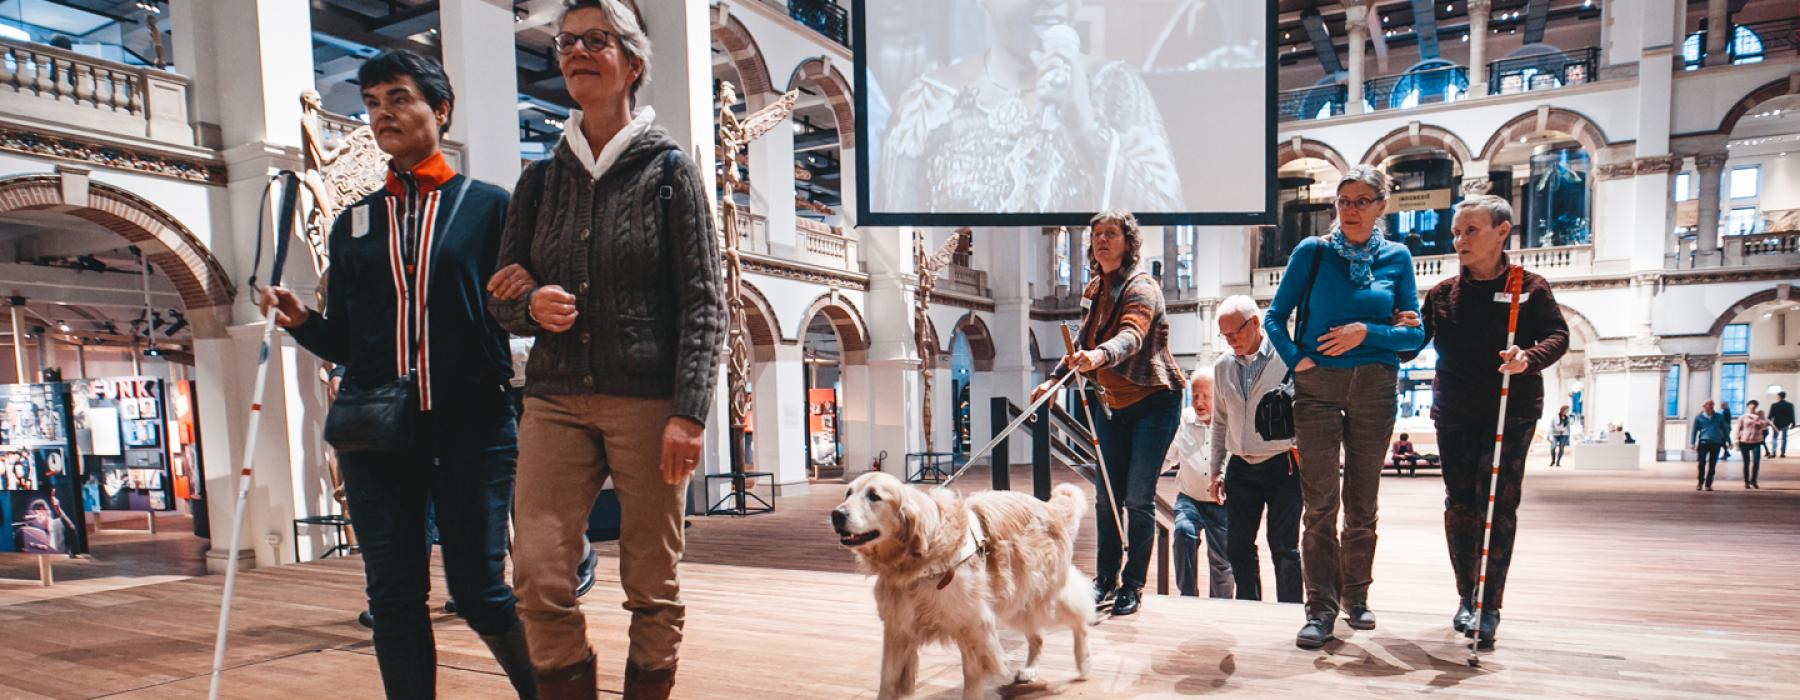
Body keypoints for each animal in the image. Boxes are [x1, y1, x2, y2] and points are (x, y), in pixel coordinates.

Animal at [831, 471, 1094, 694]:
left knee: (1080, 615)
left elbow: (972, 682)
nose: (836, 514)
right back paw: (1030, 669)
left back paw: (1083, 663)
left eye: (874, 496)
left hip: (1038, 597)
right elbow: (888, 681)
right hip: (1017, 603)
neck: (923, 554)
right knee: (1038, 636)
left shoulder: (974, 628)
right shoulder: (898, 629)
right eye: (848, 493)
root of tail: (1050, 507)